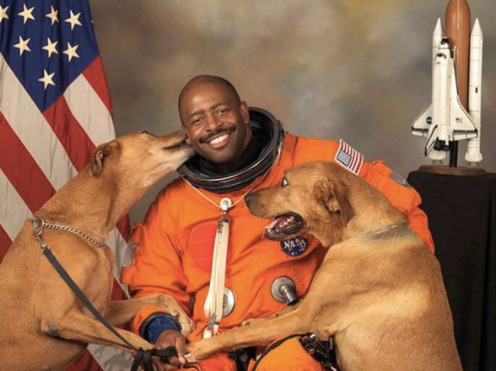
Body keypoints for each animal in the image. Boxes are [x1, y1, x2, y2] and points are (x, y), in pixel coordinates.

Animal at [0, 131, 196, 371]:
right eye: (146, 133)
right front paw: (159, 354)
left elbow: (160, 295)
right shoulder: (59, 318)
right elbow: (132, 339)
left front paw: (181, 317)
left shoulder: (103, 312)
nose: (184, 131)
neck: (81, 229)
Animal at [185, 162, 462, 371]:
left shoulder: (307, 318)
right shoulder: (306, 304)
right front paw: (251, 322)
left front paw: (201, 347)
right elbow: (274, 315)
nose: (248, 197)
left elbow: (240, 334)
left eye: (284, 182)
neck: (364, 233)